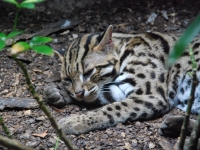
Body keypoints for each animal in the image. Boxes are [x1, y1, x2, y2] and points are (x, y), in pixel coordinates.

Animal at [44, 25, 200, 135]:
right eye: (67, 79)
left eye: (88, 73)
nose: (78, 94)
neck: (123, 50)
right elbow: (103, 97)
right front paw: (59, 92)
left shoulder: (152, 95)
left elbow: (111, 108)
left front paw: (74, 121)